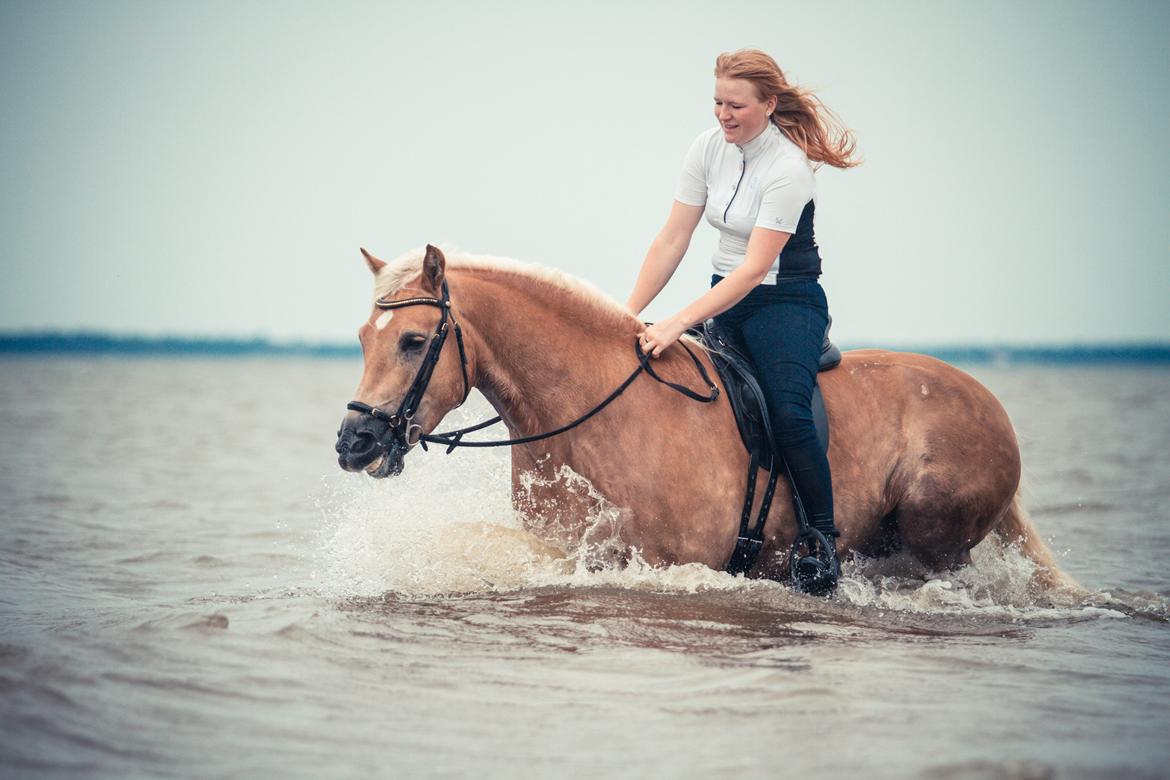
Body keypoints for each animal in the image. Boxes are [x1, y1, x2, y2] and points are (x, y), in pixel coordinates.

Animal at [334, 246, 1071, 589]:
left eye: (414, 341)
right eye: (365, 338)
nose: (354, 442)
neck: (591, 411)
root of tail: (986, 400)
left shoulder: (671, 561)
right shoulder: (573, 550)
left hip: (934, 537)